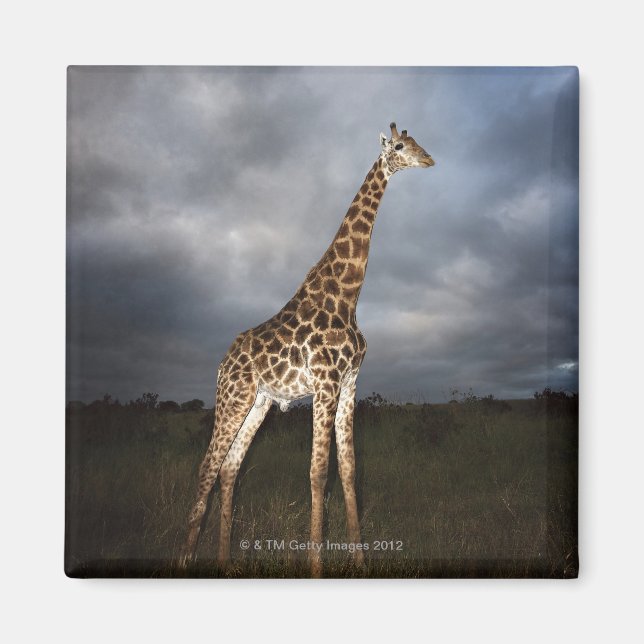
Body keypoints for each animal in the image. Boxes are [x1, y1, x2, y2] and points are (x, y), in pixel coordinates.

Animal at [180, 122, 434, 576]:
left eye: (418, 142)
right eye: (400, 146)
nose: (429, 159)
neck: (347, 295)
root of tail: (222, 364)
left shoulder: (350, 382)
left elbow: (349, 469)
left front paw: (360, 562)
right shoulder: (325, 382)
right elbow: (318, 472)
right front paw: (316, 566)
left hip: (259, 401)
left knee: (230, 467)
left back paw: (225, 562)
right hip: (233, 397)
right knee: (208, 466)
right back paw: (184, 560)